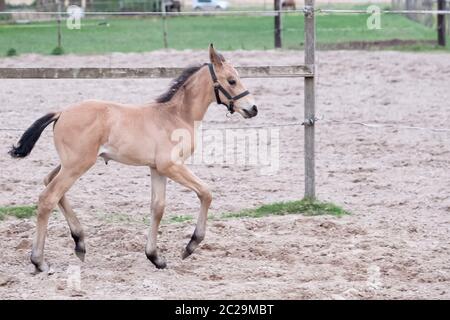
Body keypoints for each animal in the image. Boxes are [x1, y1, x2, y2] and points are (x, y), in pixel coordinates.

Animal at [9, 43, 256, 272]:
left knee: (49, 181)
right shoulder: (171, 166)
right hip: (77, 165)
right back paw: (39, 261)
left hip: (70, 163)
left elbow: (158, 207)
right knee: (48, 197)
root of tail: (61, 113)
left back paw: (80, 242)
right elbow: (206, 192)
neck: (176, 116)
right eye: (231, 81)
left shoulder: (157, 168)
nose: (253, 109)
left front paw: (155, 257)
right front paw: (190, 246)